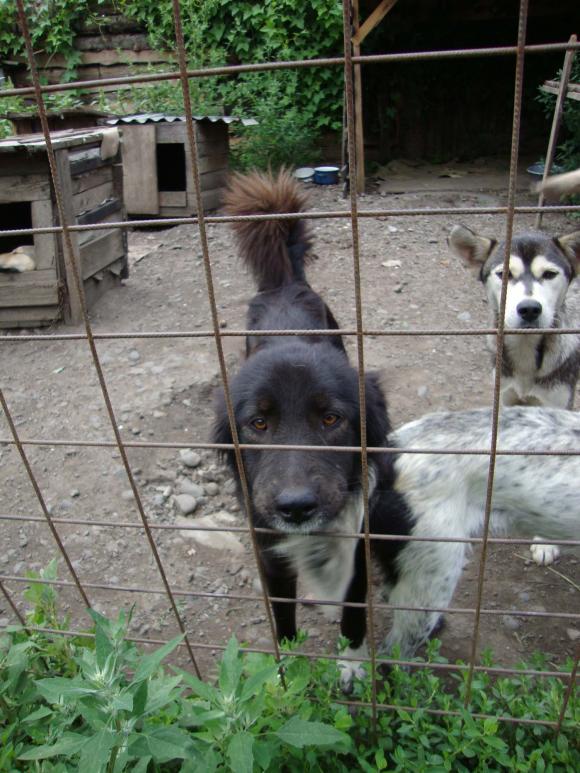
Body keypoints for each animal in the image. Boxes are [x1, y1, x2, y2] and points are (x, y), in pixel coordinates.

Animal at [214, 173, 580, 688]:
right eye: (258, 423)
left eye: (332, 419)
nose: (296, 506)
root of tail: (286, 283)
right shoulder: (271, 557)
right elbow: (283, 625)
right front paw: (283, 679)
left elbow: (353, 620)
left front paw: (350, 668)